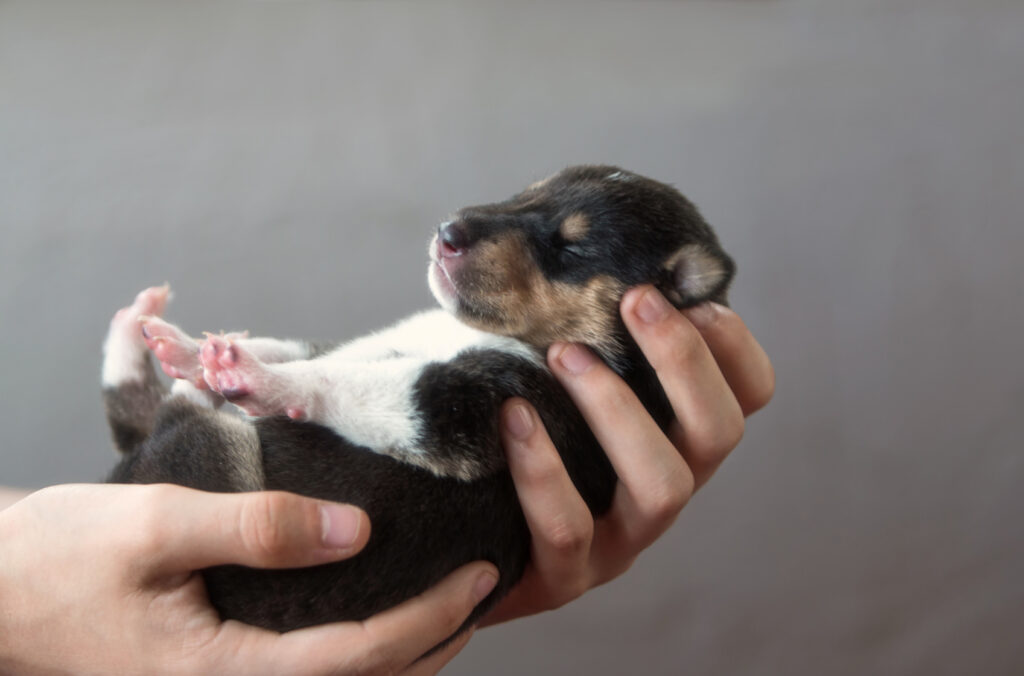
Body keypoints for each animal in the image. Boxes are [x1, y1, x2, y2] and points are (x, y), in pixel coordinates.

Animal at [99, 165, 733, 643]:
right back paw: (145, 333)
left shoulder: (471, 408)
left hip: (211, 460)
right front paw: (196, 353)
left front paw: (251, 377)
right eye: (528, 191)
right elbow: (300, 350)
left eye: (572, 247)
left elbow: (333, 380)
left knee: (167, 418)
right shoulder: (369, 347)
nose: (448, 231)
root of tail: (126, 473)